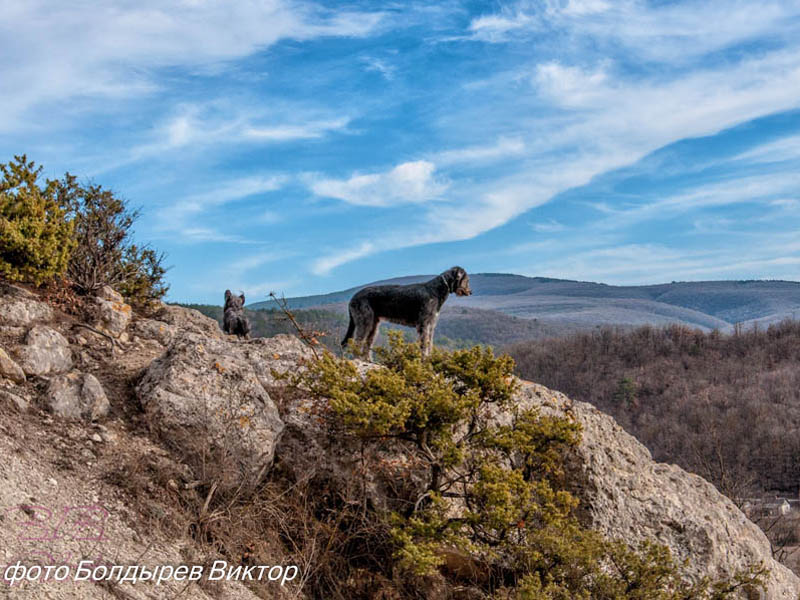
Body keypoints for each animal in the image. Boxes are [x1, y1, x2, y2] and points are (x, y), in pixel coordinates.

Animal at [340, 266, 472, 358]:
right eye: (467, 279)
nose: (470, 292)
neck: (437, 290)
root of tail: (352, 298)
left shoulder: (431, 325)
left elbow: (430, 343)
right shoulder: (423, 324)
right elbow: (424, 344)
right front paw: (424, 360)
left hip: (374, 325)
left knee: (367, 344)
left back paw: (367, 361)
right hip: (365, 321)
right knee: (358, 342)